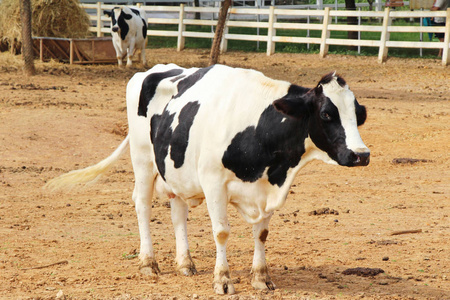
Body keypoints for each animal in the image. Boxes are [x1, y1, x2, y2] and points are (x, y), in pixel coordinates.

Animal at [45, 63, 370, 296]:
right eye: (326, 114)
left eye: (357, 114)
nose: (361, 154)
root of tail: (149, 70)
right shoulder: (214, 182)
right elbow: (222, 232)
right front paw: (223, 280)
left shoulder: (267, 189)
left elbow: (261, 234)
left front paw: (261, 278)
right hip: (142, 159)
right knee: (142, 206)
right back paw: (149, 263)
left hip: (174, 172)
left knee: (178, 213)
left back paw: (185, 263)